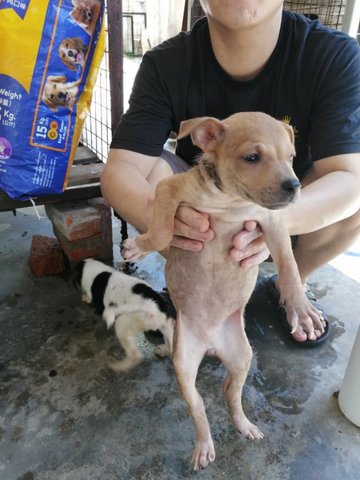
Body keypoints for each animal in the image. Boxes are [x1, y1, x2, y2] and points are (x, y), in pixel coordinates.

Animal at [121, 111, 324, 468]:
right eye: (252, 157)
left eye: (291, 158)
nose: (294, 186)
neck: (230, 201)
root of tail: (211, 345)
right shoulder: (169, 191)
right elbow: (162, 231)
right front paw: (138, 246)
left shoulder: (273, 223)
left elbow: (289, 264)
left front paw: (299, 308)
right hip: (185, 362)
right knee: (199, 406)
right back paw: (204, 446)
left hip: (242, 355)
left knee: (230, 391)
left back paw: (244, 424)